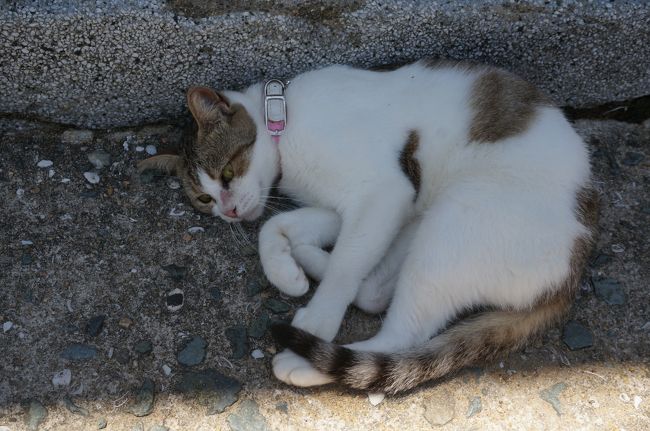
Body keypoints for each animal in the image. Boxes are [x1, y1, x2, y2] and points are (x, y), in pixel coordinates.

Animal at [138, 59, 596, 396]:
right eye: (205, 200)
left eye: (229, 173)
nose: (229, 211)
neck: (285, 121)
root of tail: (571, 275)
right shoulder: (347, 207)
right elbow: (278, 227)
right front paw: (287, 273)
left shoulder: (383, 193)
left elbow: (346, 265)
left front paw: (318, 319)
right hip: (421, 220)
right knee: (375, 292)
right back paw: (310, 264)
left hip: (459, 216)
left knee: (400, 337)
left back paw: (307, 361)